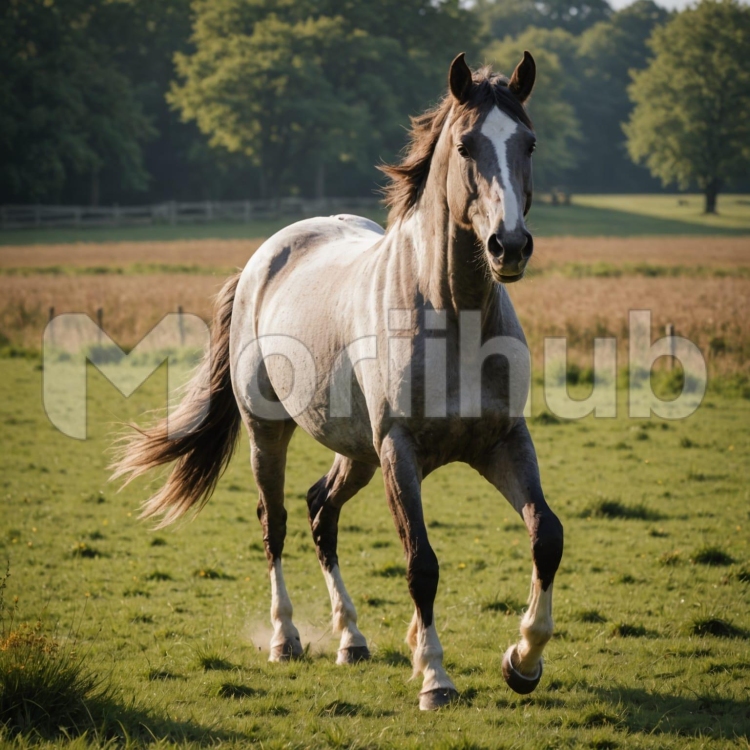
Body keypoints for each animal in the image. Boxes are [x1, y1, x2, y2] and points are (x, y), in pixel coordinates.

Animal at [113, 52, 564, 711]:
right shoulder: (399, 449)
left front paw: (522, 660)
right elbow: (421, 563)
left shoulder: (504, 441)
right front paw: (435, 677)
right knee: (274, 521)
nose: (509, 246)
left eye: (528, 142)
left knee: (320, 511)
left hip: (356, 451)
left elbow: (545, 536)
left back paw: (352, 638)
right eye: (465, 144)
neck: (450, 312)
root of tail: (263, 259)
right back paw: (286, 638)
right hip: (272, 433)